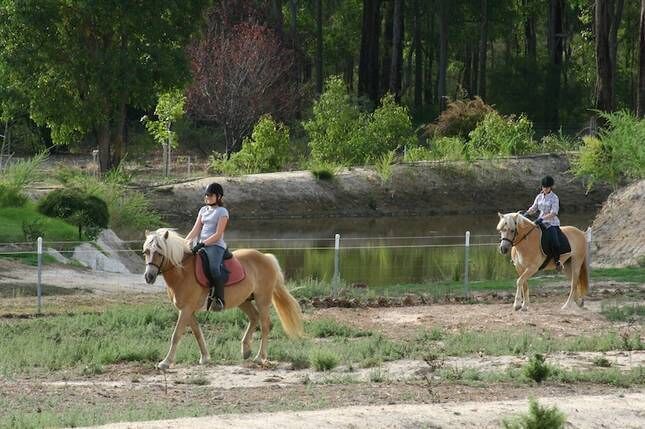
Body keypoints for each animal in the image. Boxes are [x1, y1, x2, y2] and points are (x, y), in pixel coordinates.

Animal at [142, 227, 304, 368]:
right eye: (146, 252)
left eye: (159, 252)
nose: (149, 277)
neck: (183, 271)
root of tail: (265, 257)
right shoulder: (188, 310)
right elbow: (197, 333)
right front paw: (205, 358)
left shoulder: (186, 309)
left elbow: (176, 335)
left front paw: (165, 362)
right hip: (243, 300)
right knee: (254, 317)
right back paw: (246, 350)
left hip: (262, 299)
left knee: (265, 325)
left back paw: (260, 357)